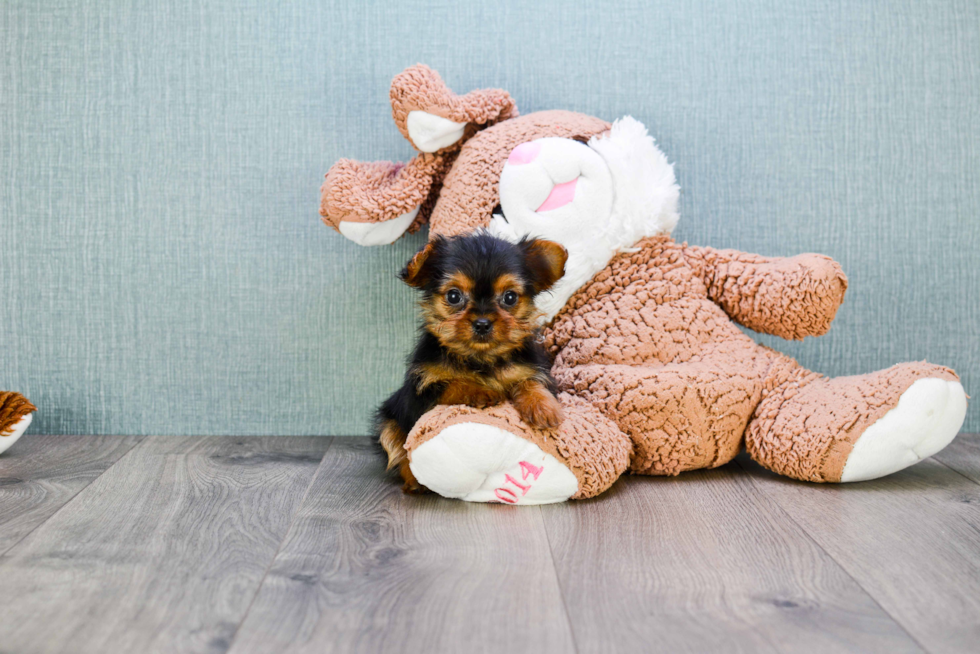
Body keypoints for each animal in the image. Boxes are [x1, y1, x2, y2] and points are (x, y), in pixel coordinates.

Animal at [378, 233, 576, 494]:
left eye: (510, 297)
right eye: (453, 296)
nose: (482, 323)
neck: (480, 358)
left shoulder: (532, 371)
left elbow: (530, 382)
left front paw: (542, 407)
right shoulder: (422, 390)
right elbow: (452, 384)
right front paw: (480, 391)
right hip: (388, 423)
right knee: (399, 449)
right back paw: (414, 480)